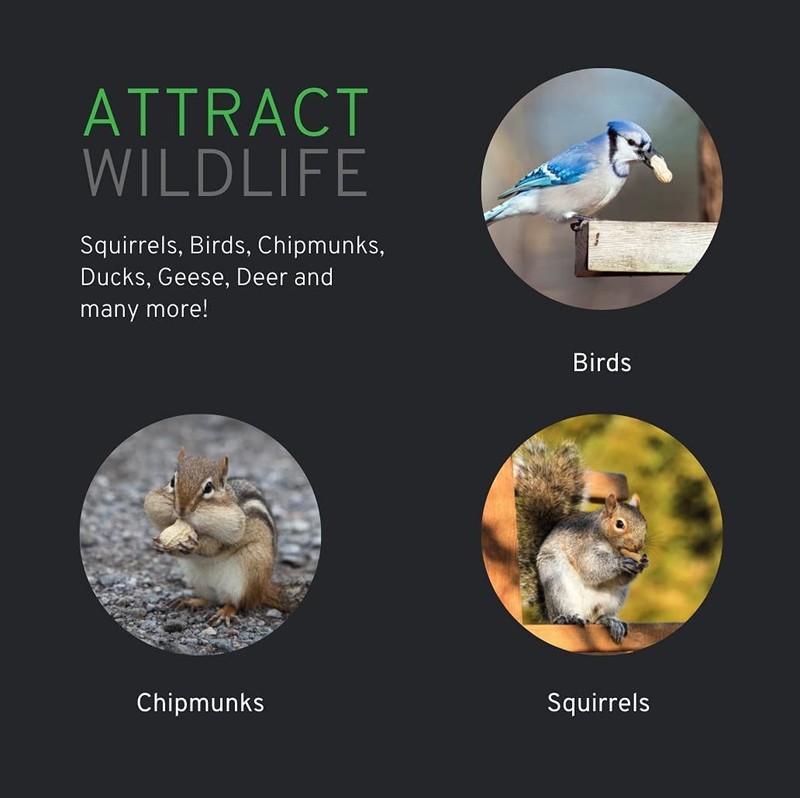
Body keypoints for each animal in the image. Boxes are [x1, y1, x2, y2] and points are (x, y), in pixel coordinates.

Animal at [144, 448, 295, 625]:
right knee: (211, 599)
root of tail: (264, 588)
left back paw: (225, 612)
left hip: (250, 569)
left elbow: (214, 547)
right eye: (172, 481)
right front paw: (157, 544)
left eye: (208, 487)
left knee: (238, 603)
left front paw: (194, 545)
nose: (181, 510)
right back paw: (190, 601)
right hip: (198, 580)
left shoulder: (233, 529)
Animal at [513, 438, 648, 643]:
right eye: (619, 524)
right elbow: (590, 564)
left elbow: (620, 578)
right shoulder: (581, 543)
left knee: (599, 617)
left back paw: (610, 621)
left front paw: (642, 563)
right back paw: (568, 618)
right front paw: (620, 562)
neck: (611, 545)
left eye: (645, 523)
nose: (638, 545)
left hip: (613, 599)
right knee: (568, 612)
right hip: (559, 587)